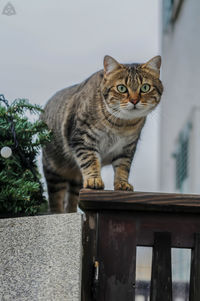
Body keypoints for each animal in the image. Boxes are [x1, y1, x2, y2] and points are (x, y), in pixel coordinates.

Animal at [41, 55, 163, 212]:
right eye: (121, 88)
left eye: (145, 87)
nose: (134, 100)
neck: (121, 125)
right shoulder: (83, 139)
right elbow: (90, 161)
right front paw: (94, 180)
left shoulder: (127, 148)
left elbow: (123, 167)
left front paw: (122, 183)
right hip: (54, 170)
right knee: (56, 199)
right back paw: (58, 212)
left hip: (75, 179)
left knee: (72, 198)